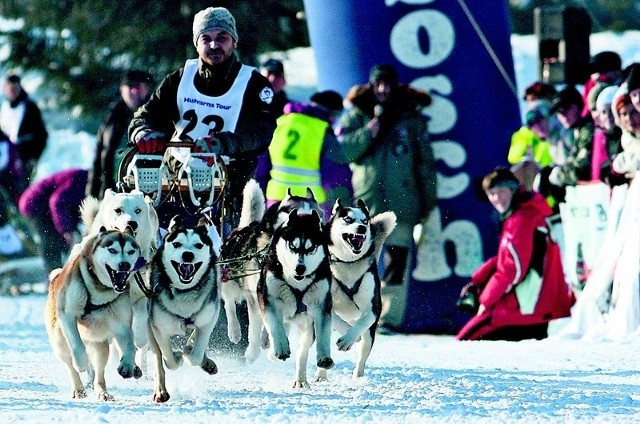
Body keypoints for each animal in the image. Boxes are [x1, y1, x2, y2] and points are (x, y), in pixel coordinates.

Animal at [45, 227, 144, 400]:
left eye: (131, 251)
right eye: (112, 250)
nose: (124, 264)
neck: (99, 290)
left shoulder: (122, 324)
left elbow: (129, 345)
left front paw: (127, 365)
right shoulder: (68, 315)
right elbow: (77, 346)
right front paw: (81, 363)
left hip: (100, 346)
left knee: (99, 373)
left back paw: (103, 392)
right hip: (60, 343)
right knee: (70, 365)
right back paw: (78, 389)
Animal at [79, 190, 160, 352]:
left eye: (138, 210)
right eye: (118, 210)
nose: (132, 223)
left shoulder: (141, 295)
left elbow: (141, 318)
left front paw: (139, 338)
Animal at [146, 215, 221, 404]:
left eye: (198, 245)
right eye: (177, 244)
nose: (188, 254)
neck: (184, 291)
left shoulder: (208, 320)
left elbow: (195, 354)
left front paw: (189, 352)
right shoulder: (159, 329)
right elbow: (168, 360)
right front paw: (178, 356)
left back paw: (205, 361)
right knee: (158, 361)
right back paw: (160, 391)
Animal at [316, 199, 396, 380]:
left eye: (365, 221)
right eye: (348, 219)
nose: (361, 228)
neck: (348, 263)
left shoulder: (373, 307)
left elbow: (364, 321)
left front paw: (348, 339)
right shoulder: (324, 303)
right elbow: (336, 319)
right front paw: (346, 332)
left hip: (369, 334)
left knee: (363, 350)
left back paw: (357, 376)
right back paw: (321, 374)